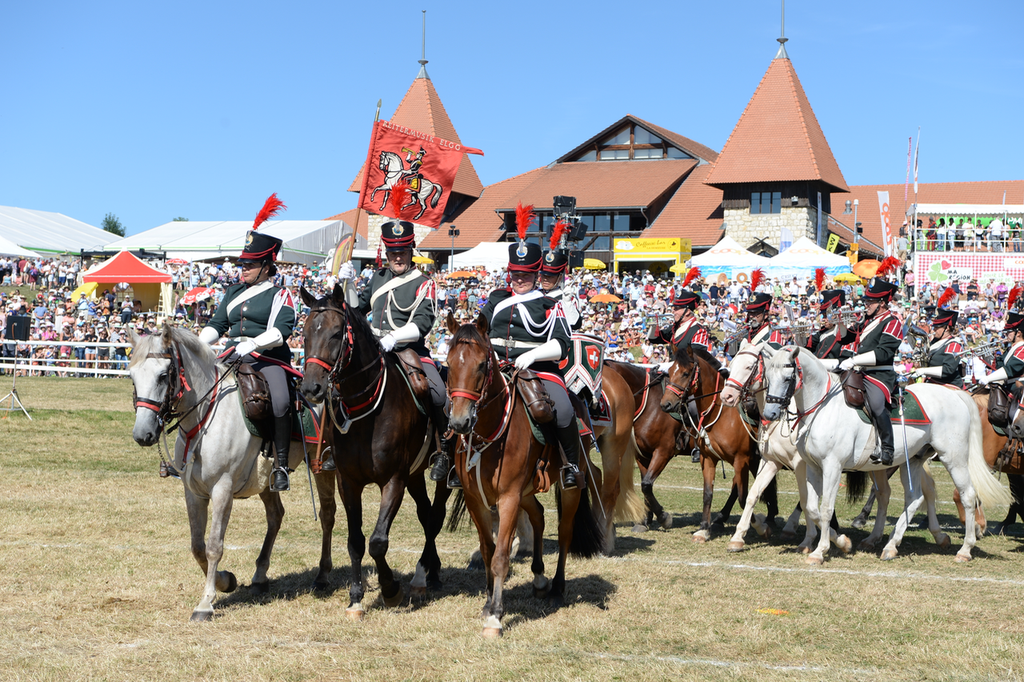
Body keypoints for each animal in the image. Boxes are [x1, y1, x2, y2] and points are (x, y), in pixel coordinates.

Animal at [127, 325, 335, 622]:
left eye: (163, 375)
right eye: (132, 376)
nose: (143, 434)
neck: (205, 416)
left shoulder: (222, 490)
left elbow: (214, 545)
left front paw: (205, 603)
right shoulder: (193, 492)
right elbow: (197, 546)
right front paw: (226, 581)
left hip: (324, 465)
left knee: (328, 514)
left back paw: (323, 575)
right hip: (265, 480)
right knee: (276, 516)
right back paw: (260, 576)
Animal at [299, 284, 452, 618]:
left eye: (336, 333)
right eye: (303, 333)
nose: (311, 389)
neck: (364, 410)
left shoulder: (393, 480)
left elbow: (378, 541)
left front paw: (391, 589)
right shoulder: (348, 482)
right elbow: (356, 541)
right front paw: (356, 597)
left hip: (445, 474)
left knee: (435, 517)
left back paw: (422, 577)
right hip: (414, 476)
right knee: (425, 514)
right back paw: (432, 572)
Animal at [444, 311, 602, 634]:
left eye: (482, 365)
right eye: (449, 364)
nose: (459, 422)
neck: (490, 433)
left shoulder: (507, 498)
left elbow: (501, 556)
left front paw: (495, 615)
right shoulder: (477, 499)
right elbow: (488, 549)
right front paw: (488, 602)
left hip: (568, 487)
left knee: (565, 532)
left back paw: (556, 588)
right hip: (527, 490)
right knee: (539, 516)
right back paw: (539, 579)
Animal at [659, 346, 778, 540]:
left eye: (685, 373)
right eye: (669, 372)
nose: (665, 404)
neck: (719, 415)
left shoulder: (741, 460)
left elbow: (743, 497)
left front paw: (759, 527)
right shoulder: (708, 459)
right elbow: (708, 494)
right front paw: (704, 529)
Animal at [761, 346, 1007, 561]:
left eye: (787, 378)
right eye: (767, 377)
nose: (769, 413)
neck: (823, 408)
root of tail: (955, 394)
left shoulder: (833, 466)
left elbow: (825, 509)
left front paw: (820, 552)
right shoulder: (813, 467)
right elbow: (811, 508)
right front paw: (842, 542)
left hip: (953, 458)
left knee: (967, 495)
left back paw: (965, 549)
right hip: (913, 460)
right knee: (915, 497)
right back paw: (891, 546)